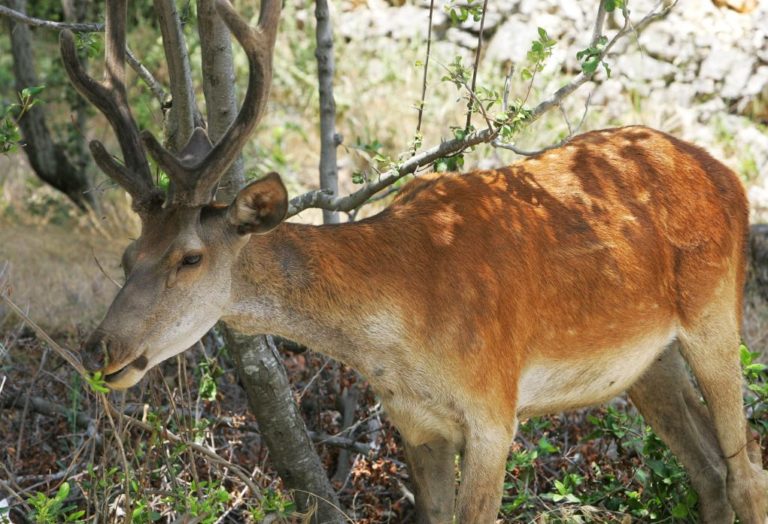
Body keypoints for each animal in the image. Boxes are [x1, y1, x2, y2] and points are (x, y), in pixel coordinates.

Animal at [61, 0, 768, 520]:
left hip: (716, 313)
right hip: (648, 363)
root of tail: (728, 175)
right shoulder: (414, 424)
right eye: (128, 254)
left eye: (189, 258)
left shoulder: (494, 409)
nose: (102, 349)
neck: (401, 322)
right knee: (708, 471)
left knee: (747, 470)